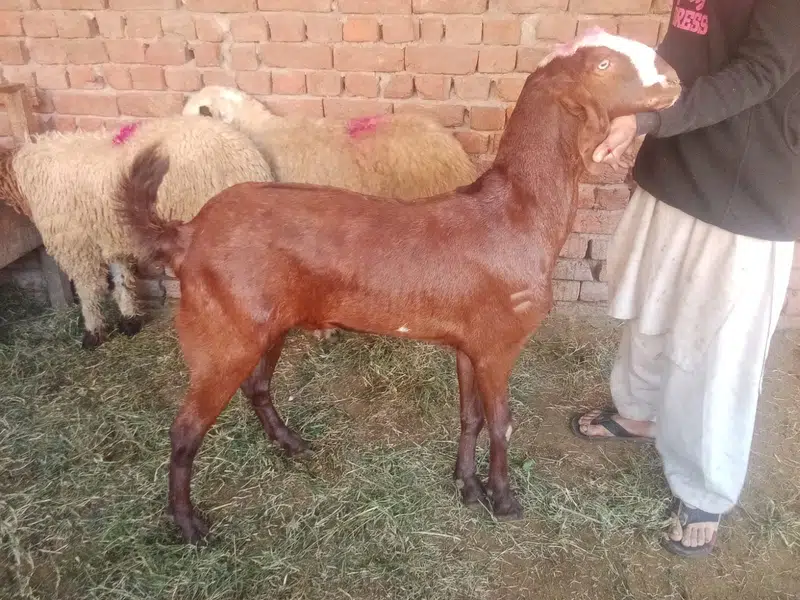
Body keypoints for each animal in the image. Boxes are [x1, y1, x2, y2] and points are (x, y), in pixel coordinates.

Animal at [0, 115, 274, 349]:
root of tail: (246, 156)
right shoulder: (110, 236)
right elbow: (121, 278)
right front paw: (130, 320)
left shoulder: (76, 245)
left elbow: (89, 291)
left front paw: (92, 333)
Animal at [118, 29, 681, 543]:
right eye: (603, 64)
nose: (675, 80)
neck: (517, 214)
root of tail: (188, 233)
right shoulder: (500, 343)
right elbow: (502, 421)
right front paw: (504, 499)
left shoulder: (469, 344)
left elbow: (471, 417)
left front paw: (466, 485)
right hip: (222, 333)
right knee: (185, 429)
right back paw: (188, 524)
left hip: (265, 322)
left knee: (256, 387)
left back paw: (290, 443)